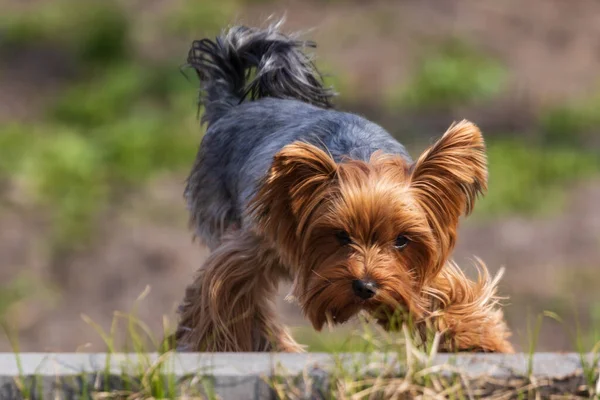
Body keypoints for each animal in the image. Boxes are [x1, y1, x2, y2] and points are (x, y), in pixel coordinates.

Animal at [172, 21, 510, 354]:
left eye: (402, 241)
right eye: (340, 236)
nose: (366, 286)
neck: (361, 160)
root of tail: (230, 107)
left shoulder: (424, 259)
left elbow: (447, 291)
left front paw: (473, 337)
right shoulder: (257, 242)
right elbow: (227, 292)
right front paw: (214, 344)